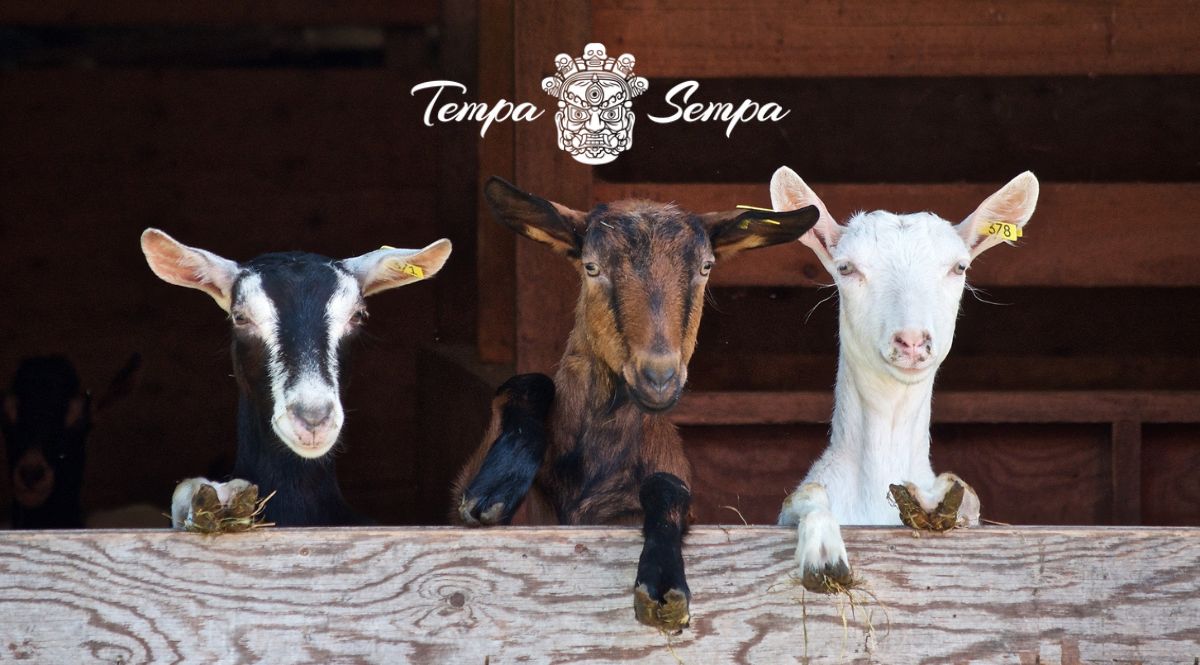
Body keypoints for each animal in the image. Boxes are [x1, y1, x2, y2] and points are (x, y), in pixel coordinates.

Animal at [453, 176, 819, 630]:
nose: (658, 377)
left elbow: (668, 487)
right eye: (591, 267)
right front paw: (496, 488)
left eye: (706, 267)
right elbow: (527, 383)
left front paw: (663, 583)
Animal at [772, 166, 1039, 590]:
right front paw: (824, 554)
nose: (912, 341)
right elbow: (806, 495)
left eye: (959, 267)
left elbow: (968, 496)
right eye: (846, 268)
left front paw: (933, 499)